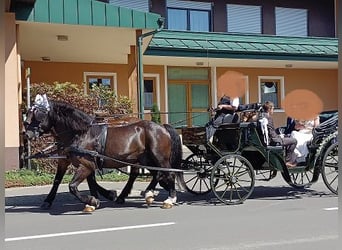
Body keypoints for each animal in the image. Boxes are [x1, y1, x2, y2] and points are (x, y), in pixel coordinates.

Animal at [24, 94, 183, 210]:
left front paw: (93, 200)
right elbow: (60, 180)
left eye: (38, 114)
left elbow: (73, 186)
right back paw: (148, 194)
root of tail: (161, 126)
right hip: (146, 159)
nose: (26, 133)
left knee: (169, 173)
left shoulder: (86, 165)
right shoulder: (71, 161)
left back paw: (169, 199)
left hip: (159, 158)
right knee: (155, 174)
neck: (80, 133)